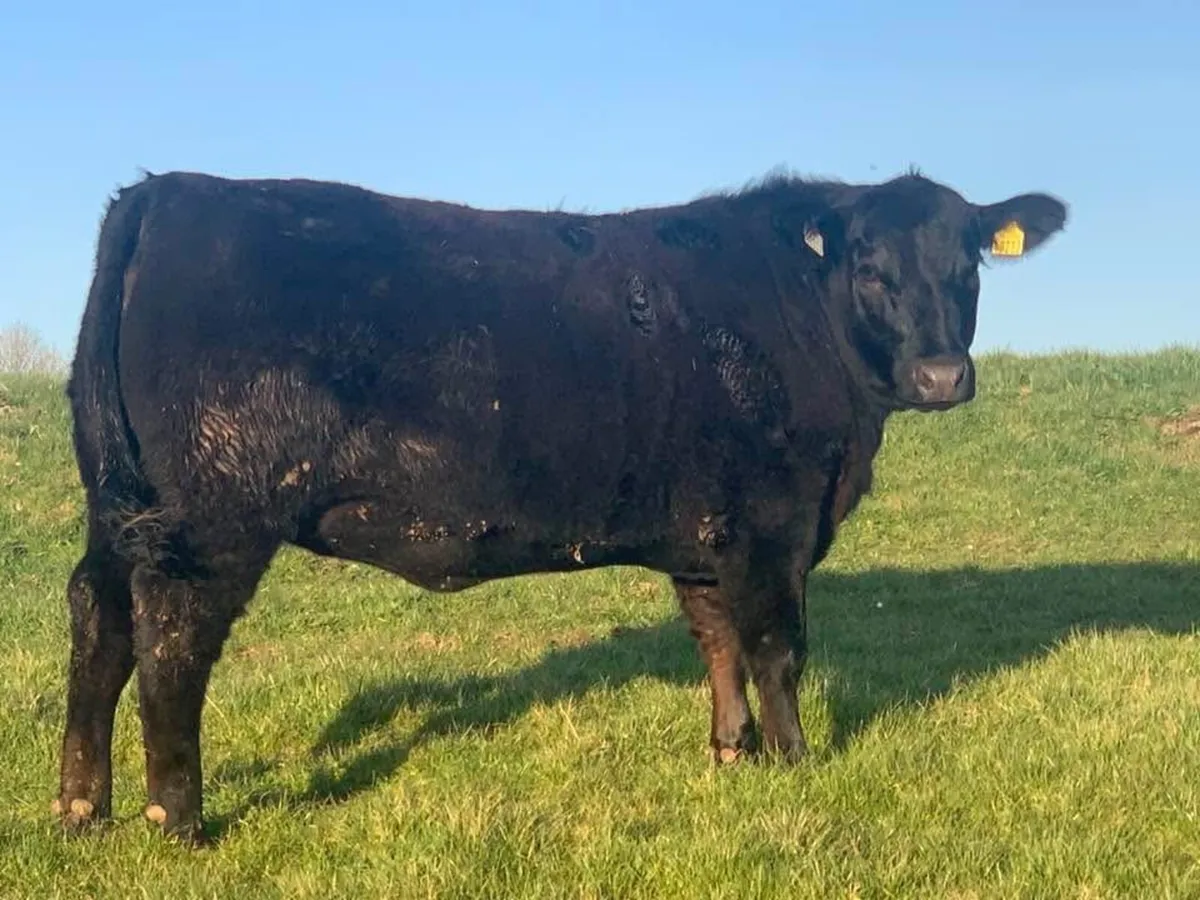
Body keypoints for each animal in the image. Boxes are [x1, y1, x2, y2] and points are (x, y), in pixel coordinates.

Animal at [54, 168, 1067, 843]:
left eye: (968, 264)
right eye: (869, 268)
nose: (942, 375)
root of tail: (169, 191)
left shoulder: (709, 533)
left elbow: (717, 641)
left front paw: (730, 754)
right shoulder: (772, 523)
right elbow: (777, 648)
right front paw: (794, 763)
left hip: (118, 503)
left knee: (99, 620)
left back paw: (81, 808)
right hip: (209, 517)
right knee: (171, 641)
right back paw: (178, 821)